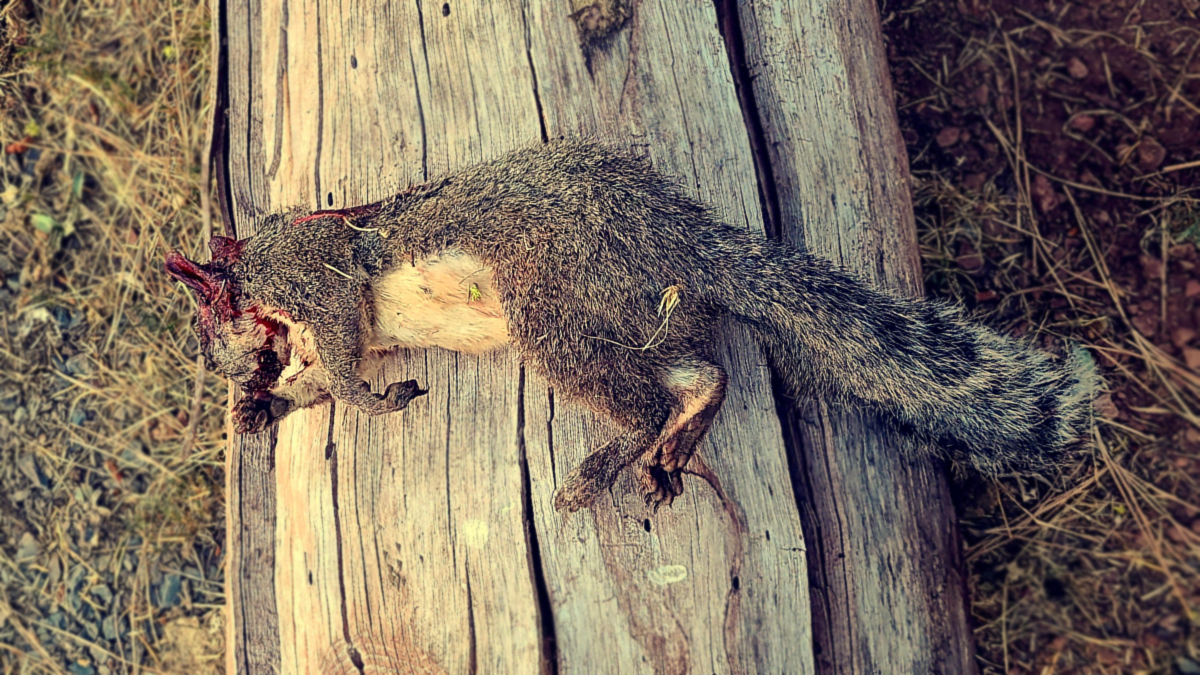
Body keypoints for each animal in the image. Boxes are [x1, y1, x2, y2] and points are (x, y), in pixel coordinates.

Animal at [164, 138, 1099, 509]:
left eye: (208, 316)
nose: (225, 368)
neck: (262, 275)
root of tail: (666, 231)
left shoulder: (318, 276)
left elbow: (341, 351)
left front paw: (356, 397)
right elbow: (319, 373)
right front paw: (262, 408)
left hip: (552, 305)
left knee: (643, 398)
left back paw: (602, 467)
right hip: (622, 315)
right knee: (702, 374)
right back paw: (678, 441)